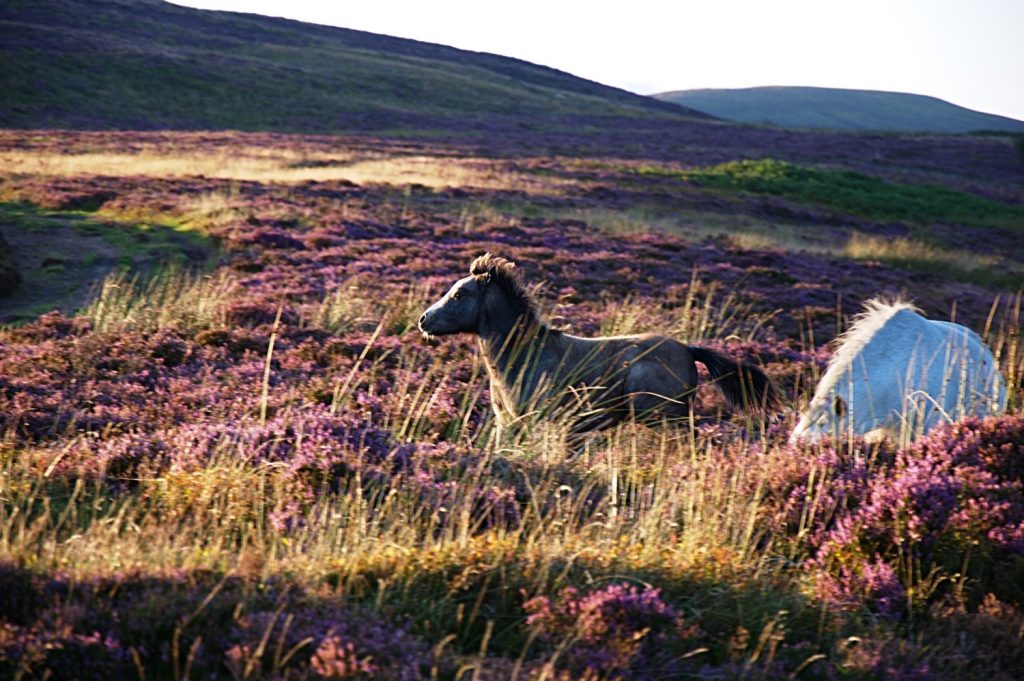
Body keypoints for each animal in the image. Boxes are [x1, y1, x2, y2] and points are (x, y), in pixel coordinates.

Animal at [415, 253, 774, 440]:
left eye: (459, 294)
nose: (423, 320)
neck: (525, 355)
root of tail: (688, 349)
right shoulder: (510, 422)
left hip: (663, 419)